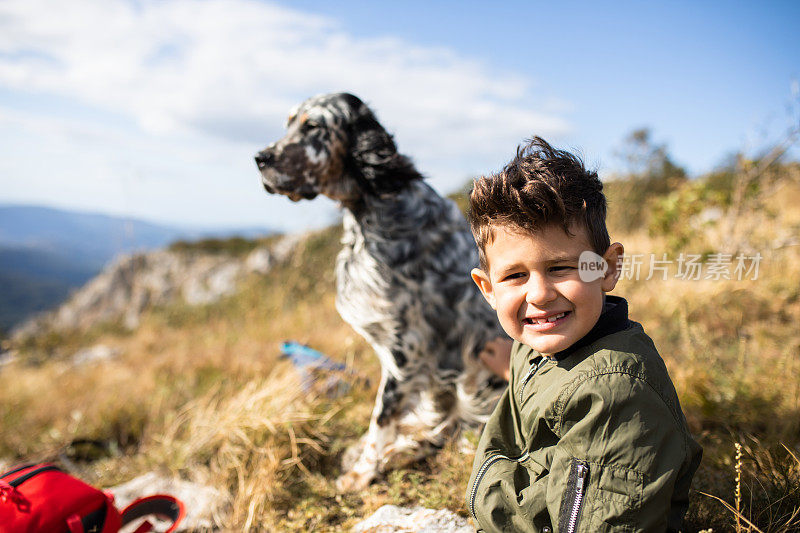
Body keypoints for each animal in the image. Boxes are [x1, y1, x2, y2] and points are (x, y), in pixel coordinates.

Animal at [255, 92, 506, 490]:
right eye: (289, 123)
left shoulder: (406, 350)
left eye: (313, 127)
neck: (373, 211)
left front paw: (363, 472)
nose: (260, 158)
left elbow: (381, 416)